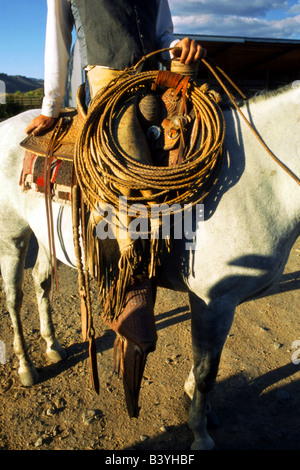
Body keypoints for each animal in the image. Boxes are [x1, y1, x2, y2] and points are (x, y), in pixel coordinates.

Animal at [0, 82, 298, 450]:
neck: (261, 182)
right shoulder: (214, 301)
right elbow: (206, 372)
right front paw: (200, 432)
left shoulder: (217, 304)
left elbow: (206, 363)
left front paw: (199, 406)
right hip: (12, 235)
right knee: (14, 299)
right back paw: (27, 367)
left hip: (44, 234)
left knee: (40, 281)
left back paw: (53, 346)